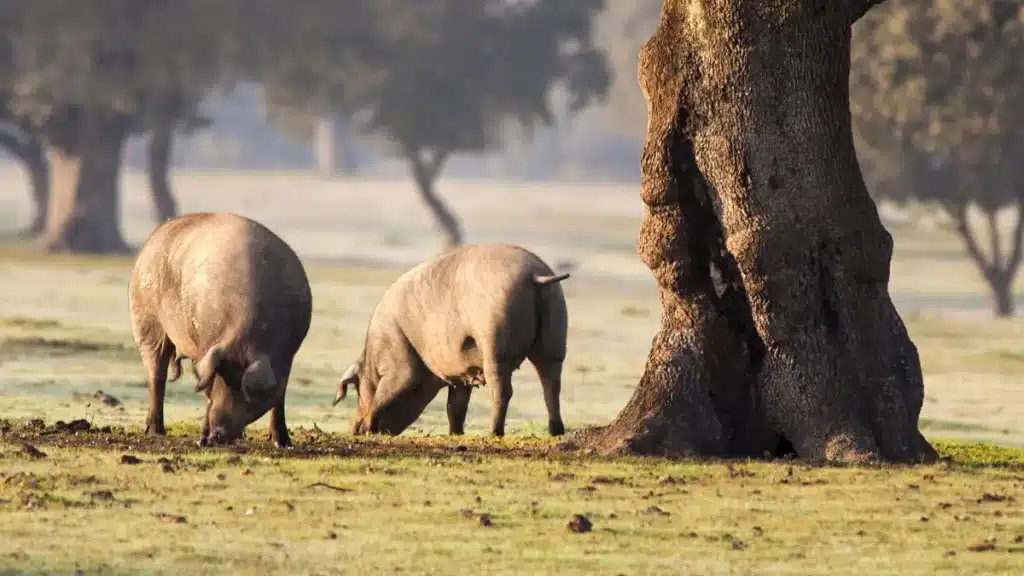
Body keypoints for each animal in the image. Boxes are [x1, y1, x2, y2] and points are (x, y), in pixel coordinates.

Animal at [126, 213, 311, 446]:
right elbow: (207, 393)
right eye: (222, 380)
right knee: (156, 375)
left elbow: (279, 398)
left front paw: (283, 444)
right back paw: (155, 431)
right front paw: (202, 439)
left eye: (246, 393)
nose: (217, 435)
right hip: (144, 317)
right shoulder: (206, 347)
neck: (244, 338)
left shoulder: (288, 356)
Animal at [333, 240, 569, 434]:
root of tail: (534, 274)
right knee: (551, 385)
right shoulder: (461, 376)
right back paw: (555, 431)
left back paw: (494, 433)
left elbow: (387, 392)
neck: (373, 358)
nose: (353, 429)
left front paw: (367, 427)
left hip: (495, 342)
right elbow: (454, 408)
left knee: (502, 390)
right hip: (554, 337)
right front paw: (455, 434)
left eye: (358, 388)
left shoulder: (399, 364)